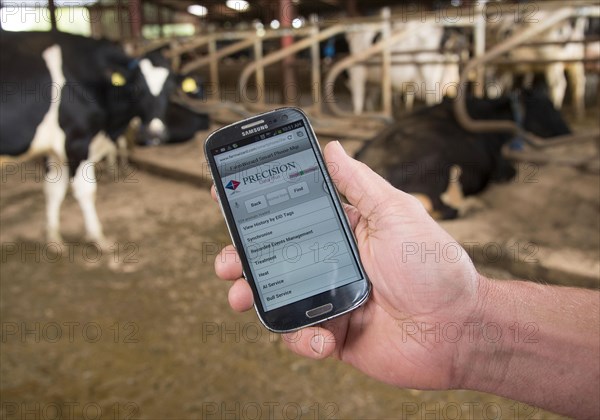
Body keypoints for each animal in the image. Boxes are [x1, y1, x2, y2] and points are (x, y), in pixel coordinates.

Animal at [0, 32, 173, 246]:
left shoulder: (54, 149)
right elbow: (86, 191)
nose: (155, 133)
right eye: (136, 87)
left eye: (170, 88)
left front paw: (54, 239)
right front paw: (99, 238)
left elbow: (53, 190)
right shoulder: (77, 141)